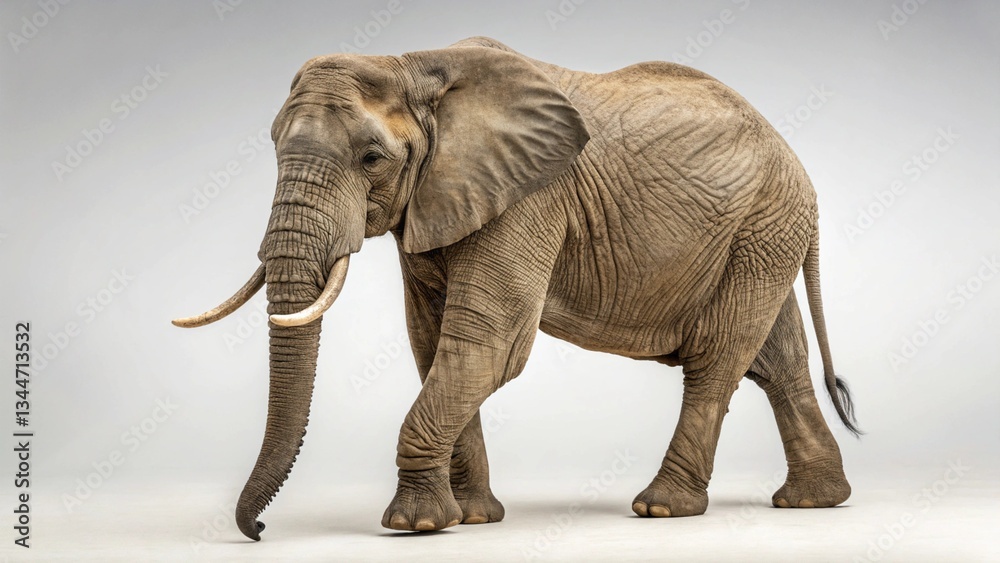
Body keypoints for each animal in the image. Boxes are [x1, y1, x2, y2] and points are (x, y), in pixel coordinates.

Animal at [173, 36, 859, 540]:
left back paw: (662, 509)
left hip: (762, 226)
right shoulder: (437, 201)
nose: (260, 530)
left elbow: (488, 342)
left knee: (718, 360)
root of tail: (795, 160)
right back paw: (813, 503)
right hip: (763, 234)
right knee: (777, 362)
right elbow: (433, 343)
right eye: (272, 148)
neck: (412, 64)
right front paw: (473, 518)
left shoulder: (530, 197)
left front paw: (416, 525)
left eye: (371, 159)